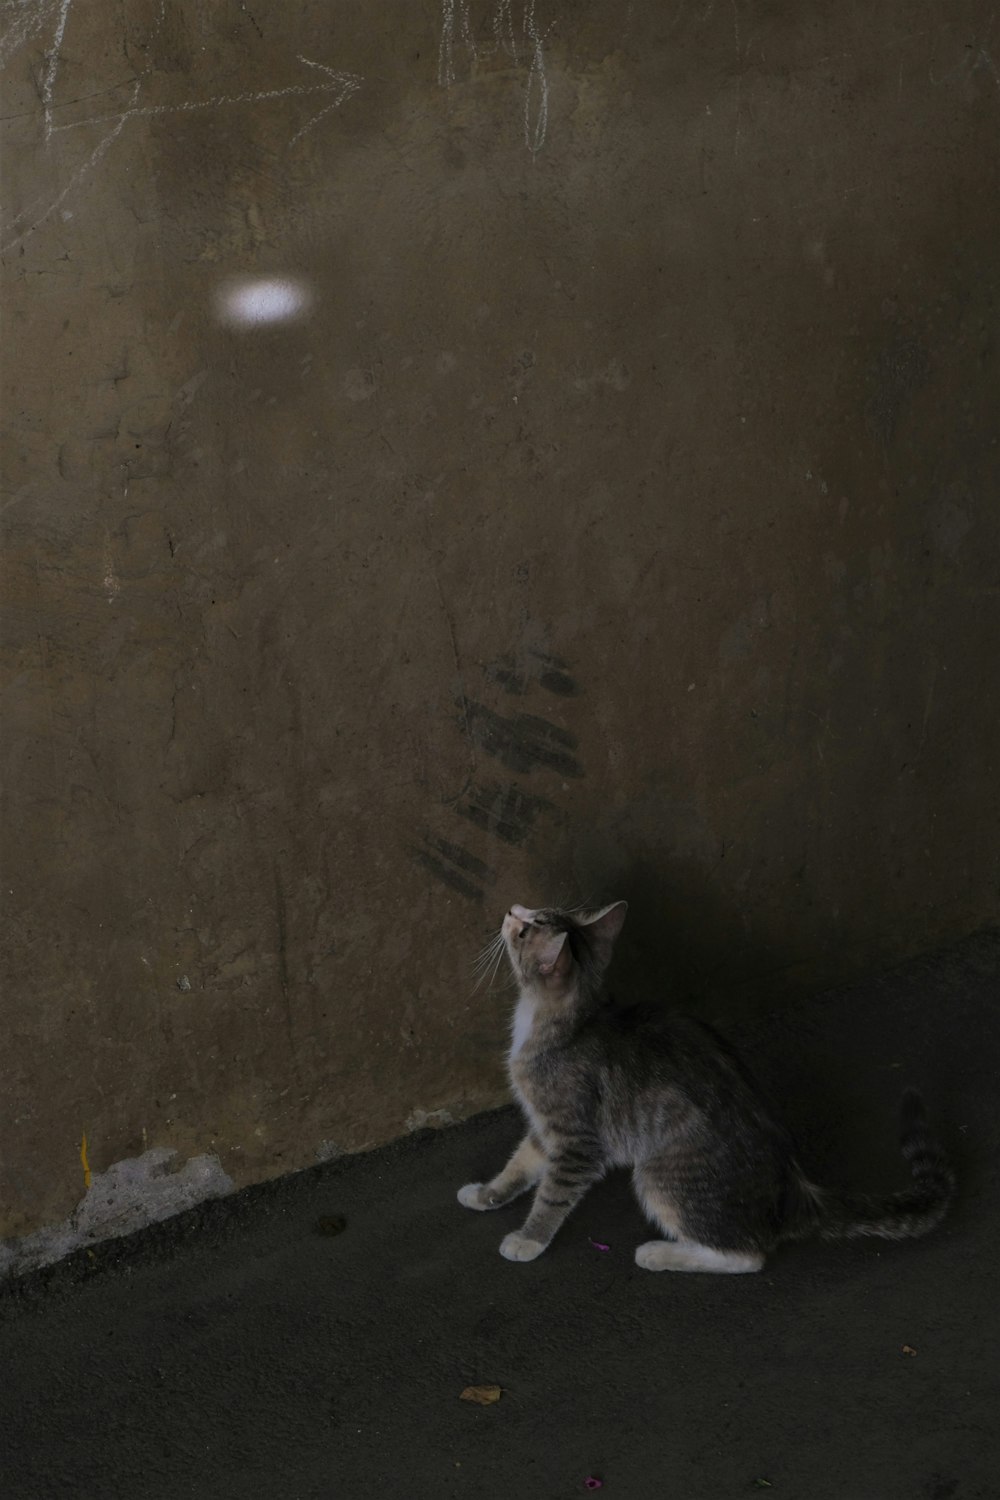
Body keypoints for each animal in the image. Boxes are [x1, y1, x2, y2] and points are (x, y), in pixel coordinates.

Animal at [458, 894, 953, 1272]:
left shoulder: (576, 1138)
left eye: (526, 929)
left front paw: (529, 1239)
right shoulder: (546, 1127)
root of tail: (795, 1191)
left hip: (658, 1173)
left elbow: (553, 1194)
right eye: (535, 912)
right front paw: (487, 1193)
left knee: (748, 1257)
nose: (512, 908)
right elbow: (520, 1163)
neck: (554, 1024)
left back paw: (660, 1253)